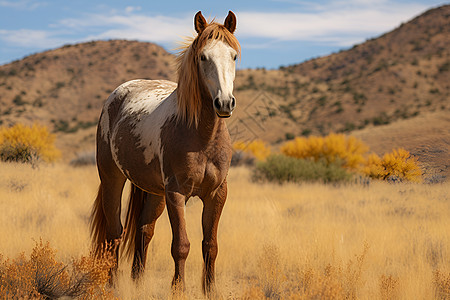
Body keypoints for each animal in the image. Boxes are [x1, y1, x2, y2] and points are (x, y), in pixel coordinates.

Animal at [89, 10, 241, 294]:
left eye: (234, 56)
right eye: (203, 57)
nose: (225, 103)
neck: (202, 137)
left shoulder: (217, 194)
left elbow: (210, 245)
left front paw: (209, 290)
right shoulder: (177, 193)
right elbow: (181, 245)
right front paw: (178, 289)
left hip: (154, 192)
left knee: (143, 229)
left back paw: (137, 282)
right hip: (113, 178)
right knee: (114, 231)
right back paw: (114, 285)